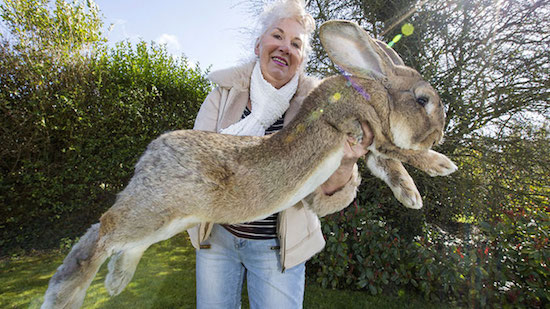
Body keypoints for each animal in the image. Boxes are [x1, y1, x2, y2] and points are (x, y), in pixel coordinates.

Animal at [41, 20, 460, 306]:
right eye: (423, 100)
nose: (440, 133)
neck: (373, 92)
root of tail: (149, 156)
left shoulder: (369, 148)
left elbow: (389, 166)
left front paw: (411, 196)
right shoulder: (364, 128)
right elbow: (400, 152)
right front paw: (441, 164)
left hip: (167, 220)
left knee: (119, 240)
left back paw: (114, 282)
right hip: (156, 209)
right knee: (103, 232)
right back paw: (67, 293)